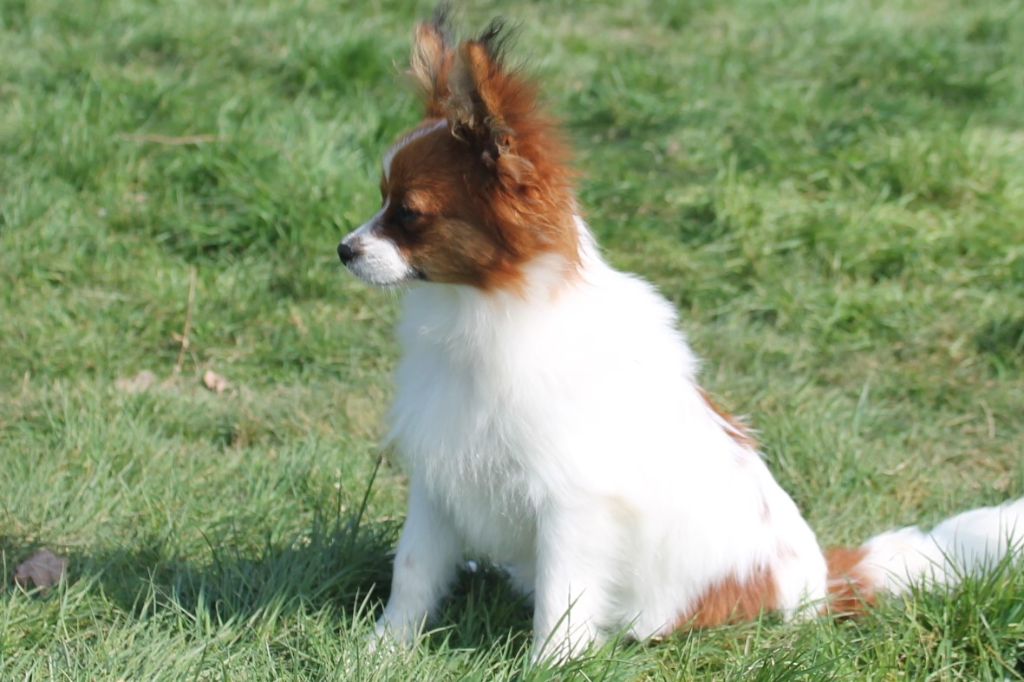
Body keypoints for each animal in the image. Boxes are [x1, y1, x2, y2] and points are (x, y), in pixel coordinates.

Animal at [337, 8, 1024, 662]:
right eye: (382, 199)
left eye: (408, 214)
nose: (344, 249)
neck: (482, 308)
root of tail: (820, 584)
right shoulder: (440, 477)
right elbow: (413, 573)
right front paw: (382, 651)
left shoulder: (572, 503)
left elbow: (560, 600)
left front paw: (548, 664)